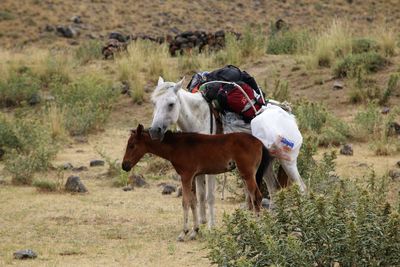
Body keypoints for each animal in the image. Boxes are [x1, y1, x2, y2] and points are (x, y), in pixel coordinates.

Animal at [122, 124, 270, 242]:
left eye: (132, 145)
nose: (125, 166)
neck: (177, 146)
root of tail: (259, 142)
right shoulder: (193, 176)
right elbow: (193, 202)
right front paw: (195, 231)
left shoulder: (186, 176)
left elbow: (185, 202)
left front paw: (183, 233)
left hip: (247, 173)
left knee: (256, 197)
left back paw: (257, 228)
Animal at [150, 76, 306, 233]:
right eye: (154, 103)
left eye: (171, 104)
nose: (154, 131)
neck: (199, 120)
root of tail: (288, 115)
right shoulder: (197, 169)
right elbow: (200, 195)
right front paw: (201, 224)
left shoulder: (209, 170)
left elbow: (210, 196)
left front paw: (211, 227)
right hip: (265, 165)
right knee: (273, 189)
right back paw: (273, 221)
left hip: (288, 162)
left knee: (301, 188)